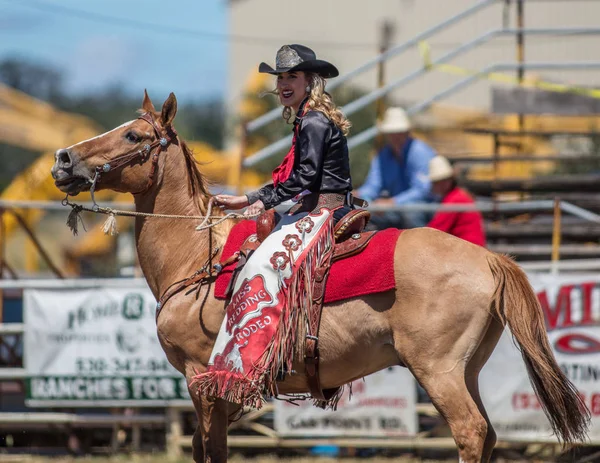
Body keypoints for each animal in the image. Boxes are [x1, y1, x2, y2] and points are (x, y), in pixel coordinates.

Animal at [50, 92, 584, 462]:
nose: (63, 159)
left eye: (133, 137)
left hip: (440, 370)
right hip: (466, 368)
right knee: (487, 433)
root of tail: (490, 259)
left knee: (470, 431)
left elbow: (211, 450)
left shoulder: (202, 379)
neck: (197, 261)